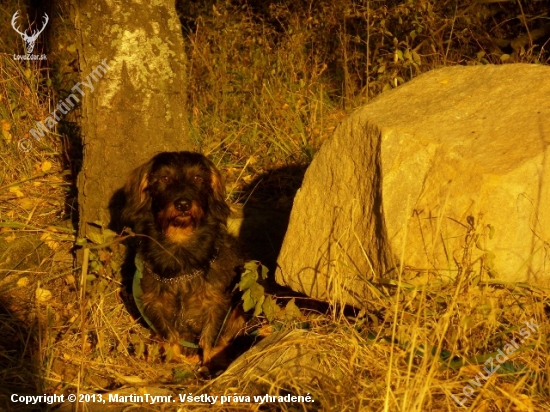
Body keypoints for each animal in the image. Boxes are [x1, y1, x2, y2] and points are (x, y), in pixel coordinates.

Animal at [125, 152, 248, 370]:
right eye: (164, 178)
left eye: (198, 178)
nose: (183, 204)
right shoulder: (156, 303)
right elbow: (170, 335)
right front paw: (174, 358)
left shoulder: (217, 303)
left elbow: (209, 338)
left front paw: (211, 365)